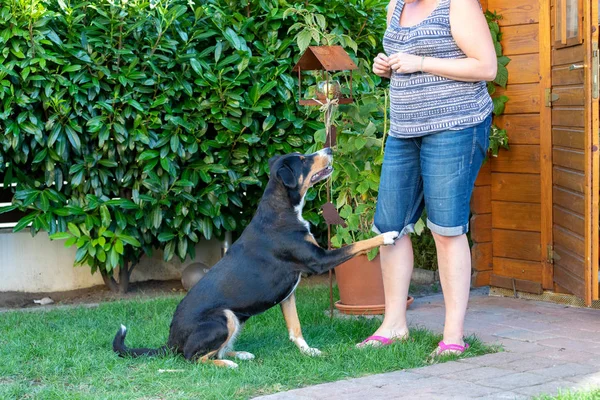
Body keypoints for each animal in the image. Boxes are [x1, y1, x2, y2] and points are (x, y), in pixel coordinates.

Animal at [115, 148, 400, 368]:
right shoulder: (320, 260)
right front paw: (387, 235)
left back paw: (239, 353)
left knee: (212, 350)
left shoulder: (288, 294)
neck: (281, 209)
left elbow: (295, 328)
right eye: (304, 159)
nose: (329, 149)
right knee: (193, 357)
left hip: (234, 319)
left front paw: (309, 352)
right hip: (224, 317)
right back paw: (227, 363)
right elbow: (357, 245)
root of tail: (170, 341)